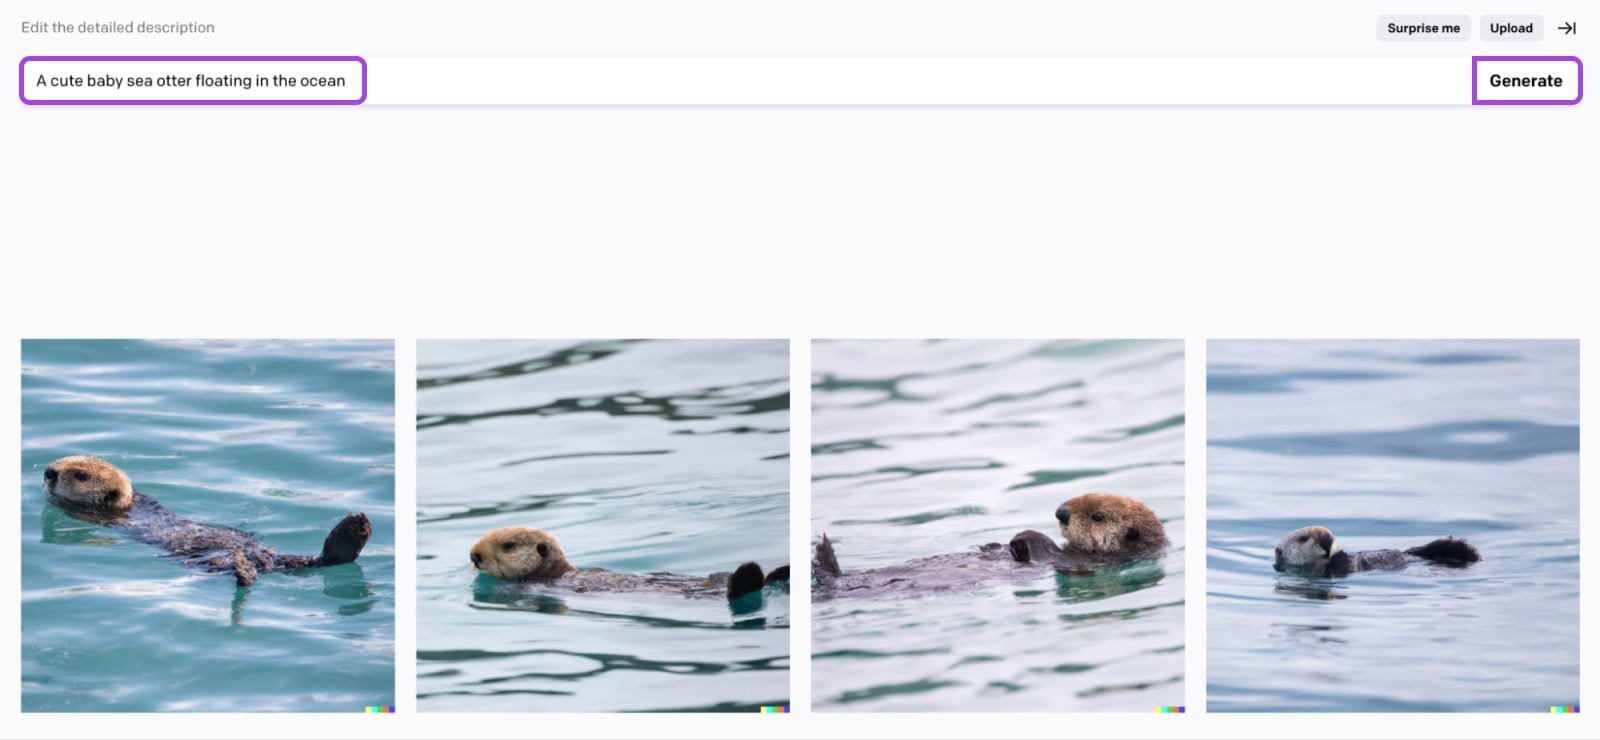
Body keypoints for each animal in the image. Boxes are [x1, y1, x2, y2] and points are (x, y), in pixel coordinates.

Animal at [814, 492, 1168, 601]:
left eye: (1097, 516)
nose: (1060, 512)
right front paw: (993, 544)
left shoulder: (1079, 564)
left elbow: (1039, 548)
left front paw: (1017, 542)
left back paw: (823, 556)